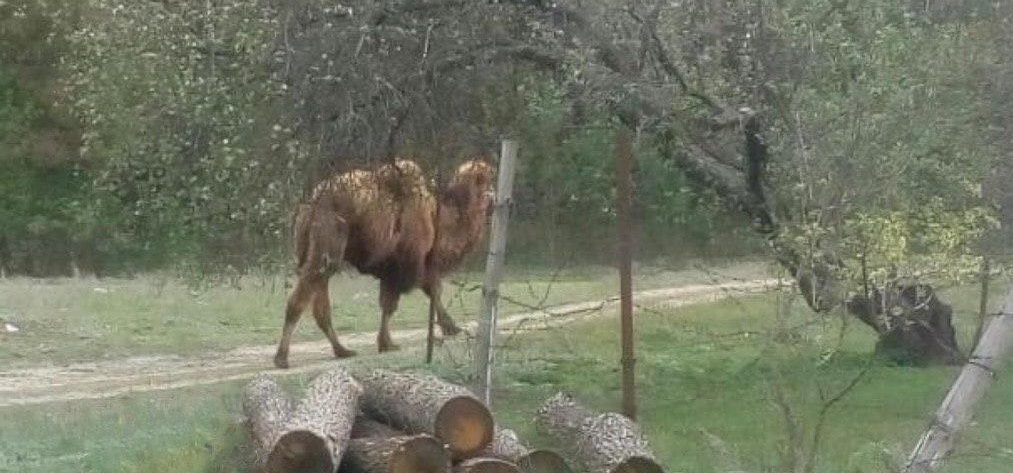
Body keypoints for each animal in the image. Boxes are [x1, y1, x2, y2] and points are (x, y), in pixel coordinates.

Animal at [274, 158, 495, 368]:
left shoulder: (396, 267)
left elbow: (397, 301)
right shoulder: (408, 263)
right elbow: (415, 296)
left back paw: (342, 350)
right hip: (328, 242)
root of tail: (312, 204)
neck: (438, 218)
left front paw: (388, 342)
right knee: (302, 297)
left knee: (320, 300)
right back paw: (282, 358)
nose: (495, 199)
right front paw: (391, 342)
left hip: (313, 251)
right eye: (487, 184)